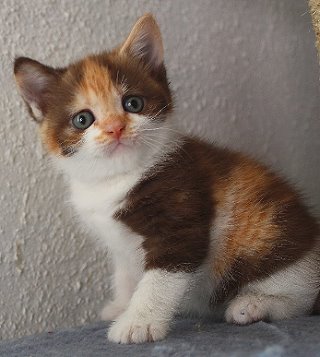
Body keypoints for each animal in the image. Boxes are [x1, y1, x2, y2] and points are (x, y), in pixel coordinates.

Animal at [13, 13, 318, 342]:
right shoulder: (118, 242)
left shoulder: (181, 215)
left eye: (133, 103)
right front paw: (121, 305)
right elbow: (125, 273)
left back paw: (254, 305)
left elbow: (160, 280)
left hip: (266, 239)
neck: (117, 178)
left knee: (302, 296)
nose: (115, 128)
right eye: (83, 119)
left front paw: (138, 323)